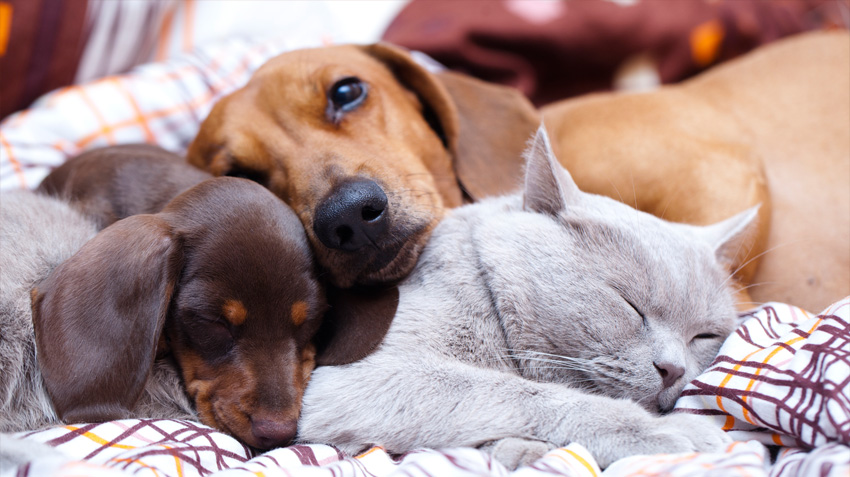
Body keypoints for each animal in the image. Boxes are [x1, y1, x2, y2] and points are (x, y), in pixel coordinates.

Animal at [294, 126, 752, 468]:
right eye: (629, 304)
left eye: (704, 336)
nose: (674, 369)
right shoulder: (358, 376)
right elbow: (517, 394)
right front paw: (672, 431)